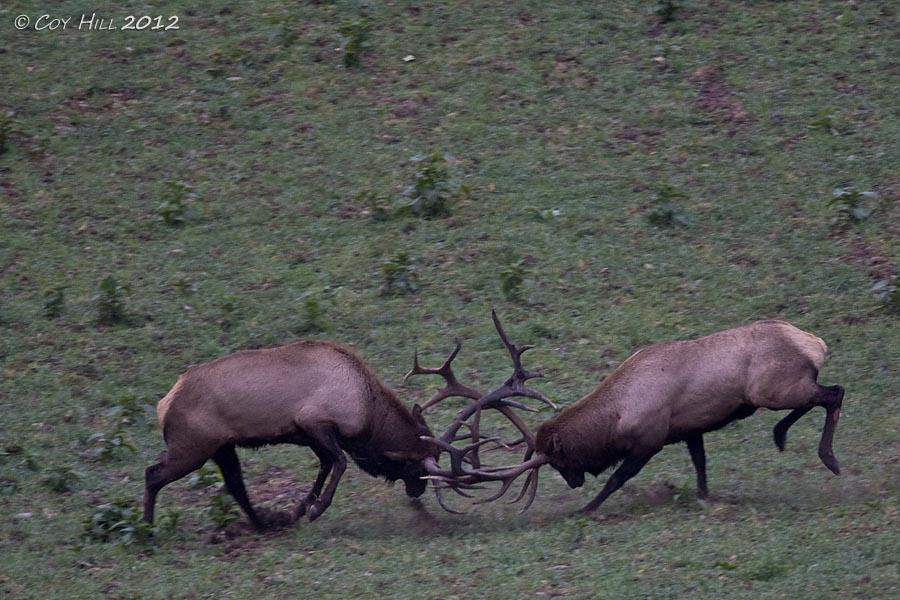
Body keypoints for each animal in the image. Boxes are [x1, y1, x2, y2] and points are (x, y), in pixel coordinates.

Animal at [426, 319, 845, 516]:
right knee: (822, 394)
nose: (575, 483)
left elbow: (616, 478)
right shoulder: (688, 429)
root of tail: (815, 343)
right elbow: (701, 465)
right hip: (778, 389)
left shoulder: (650, 439)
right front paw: (705, 496)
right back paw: (782, 435)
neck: (616, 418)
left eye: (559, 458)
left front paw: (586, 509)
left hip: (769, 390)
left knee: (834, 392)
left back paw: (826, 457)